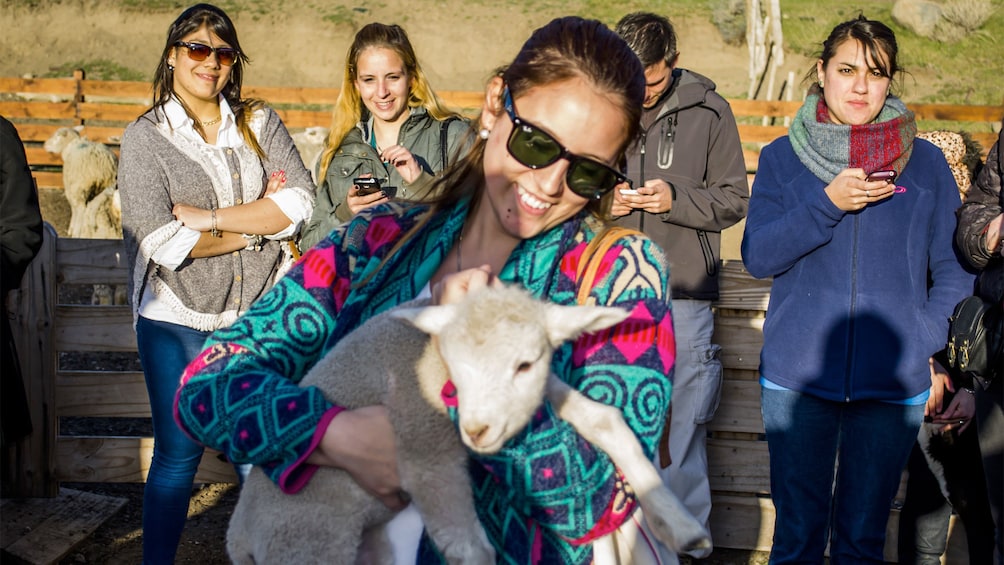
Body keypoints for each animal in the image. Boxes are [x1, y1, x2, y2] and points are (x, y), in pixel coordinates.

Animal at [227, 287, 714, 565]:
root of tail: (238, 535)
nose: (477, 431)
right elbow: (468, 548)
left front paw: (681, 526)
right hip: (306, 539)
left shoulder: (541, 390)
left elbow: (605, 420)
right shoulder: (425, 447)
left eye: (524, 363)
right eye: (454, 366)